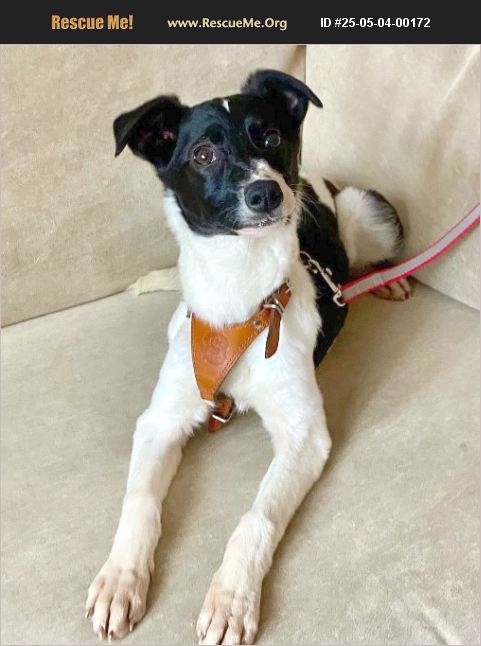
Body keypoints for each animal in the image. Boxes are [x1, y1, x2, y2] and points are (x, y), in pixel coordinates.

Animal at [85, 70, 410, 645]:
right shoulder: (160, 420)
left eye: (270, 137)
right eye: (203, 154)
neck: (241, 299)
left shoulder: (304, 436)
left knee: (366, 252)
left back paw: (387, 279)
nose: (267, 191)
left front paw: (231, 597)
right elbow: (140, 500)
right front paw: (120, 577)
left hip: (366, 211)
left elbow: (256, 517)